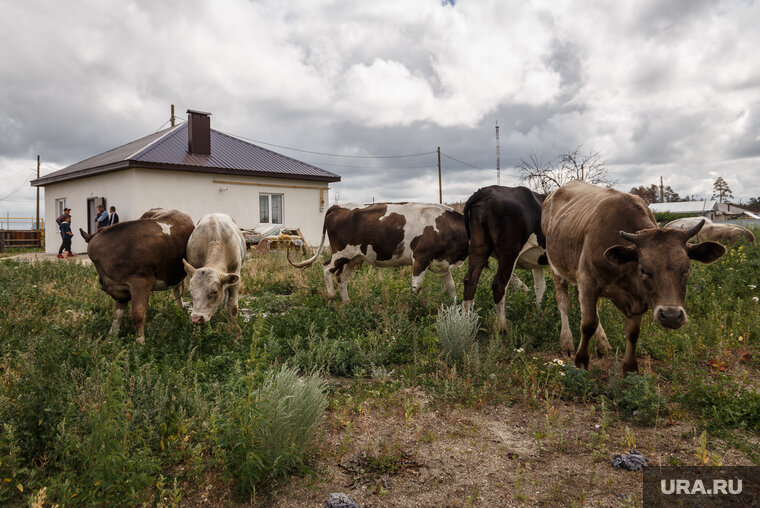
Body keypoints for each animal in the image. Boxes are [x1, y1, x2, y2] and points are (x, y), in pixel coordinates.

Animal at [81, 207, 196, 346]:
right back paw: (180, 312)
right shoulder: (120, 289)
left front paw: (140, 343)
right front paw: (110, 339)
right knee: (177, 289)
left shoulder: (141, 282)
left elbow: (137, 315)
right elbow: (117, 315)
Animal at [290, 201, 472, 302]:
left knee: (342, 277)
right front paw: (413, 306)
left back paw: (347, 303)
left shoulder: (443, 263)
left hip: (355, 258)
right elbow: (417, 287)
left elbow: (451, 287)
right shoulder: (421, 258)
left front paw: (456, 310)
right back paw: (330, 295)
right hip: (341, 252)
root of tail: (338, 206)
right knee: (327, 268)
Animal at [460, 185, 548, 328]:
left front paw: (539, 316)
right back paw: (503, 327)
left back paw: (465, 326)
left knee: (470, 281)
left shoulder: (537, 261)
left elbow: (540, 286)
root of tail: (486, 191)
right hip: (509, 252)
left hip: (478, 247)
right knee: (499, 285)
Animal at [540, 182, 724, 374]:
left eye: (686, 269)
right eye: (643, 269)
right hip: (556, 267)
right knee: (563, 302)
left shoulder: (639, 298)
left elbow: (633, 332)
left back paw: (603, 343)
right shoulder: (588, 283)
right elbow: (588, 324)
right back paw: (567, 343)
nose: (671, 316)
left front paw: (629, 368)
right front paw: (581, 361)